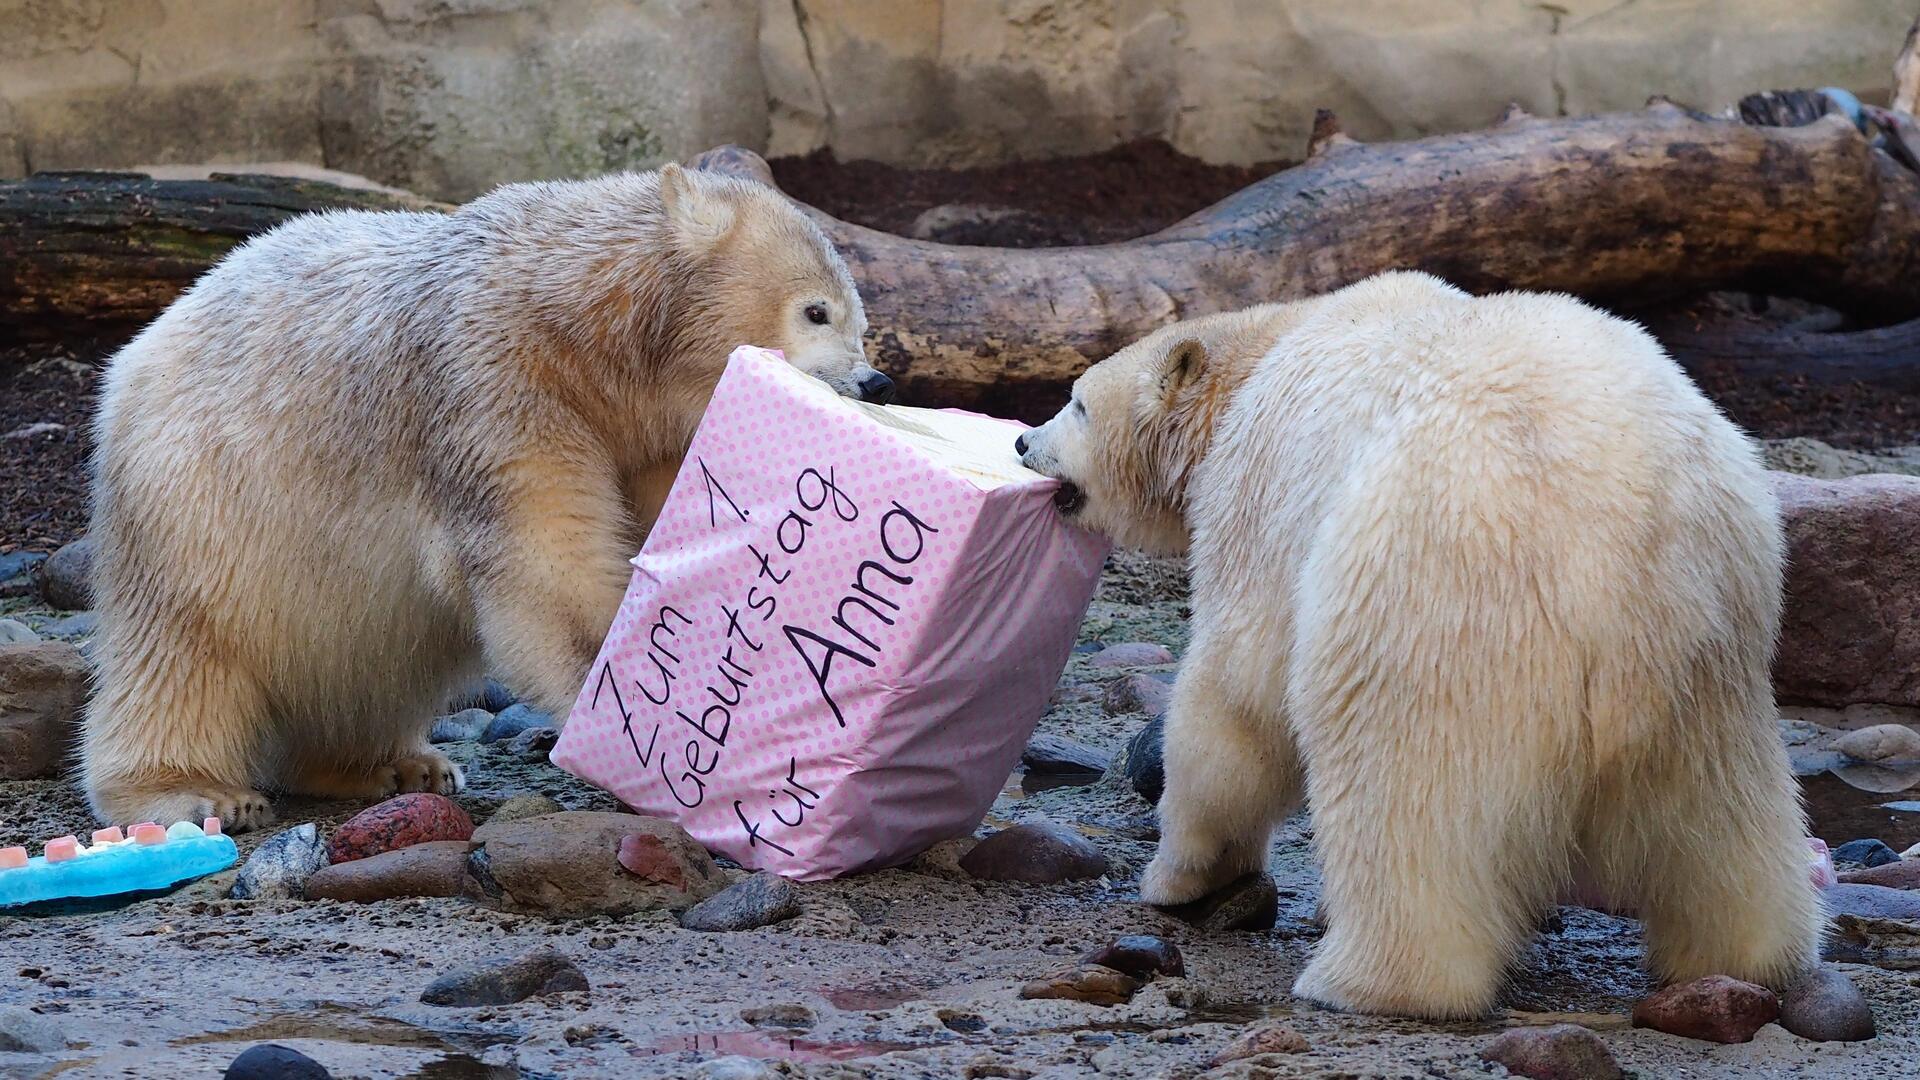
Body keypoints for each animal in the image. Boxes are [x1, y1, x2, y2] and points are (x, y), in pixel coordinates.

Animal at [74, 164, 883, 826]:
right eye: (817, 310)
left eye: (861, 318)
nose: (875, 381)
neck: (584, 324)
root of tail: (139, 350)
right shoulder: (493, 381)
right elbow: (545, 560)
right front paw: (615, 693)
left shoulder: (642, 430)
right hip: (199, 497)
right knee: (183, 649)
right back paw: (196, 792)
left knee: (372, 660)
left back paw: (390, 763)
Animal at [1013, 270, 1820, 1014]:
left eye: (1076, 402)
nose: (1022, 439)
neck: (1262, 350)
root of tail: (1630, 540)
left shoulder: (1258, 497)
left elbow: (1235, 696)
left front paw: (1177, 876)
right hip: (1716, 641)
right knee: (1724, 816)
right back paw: (1750, 953)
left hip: (1436, 599)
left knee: (1402, 796)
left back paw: (1367, 980)